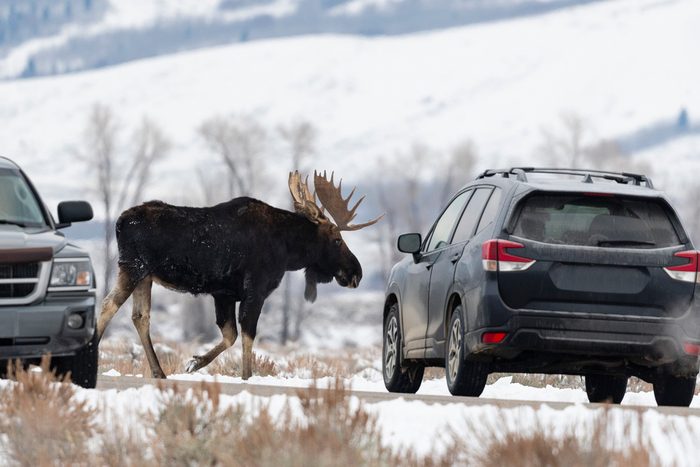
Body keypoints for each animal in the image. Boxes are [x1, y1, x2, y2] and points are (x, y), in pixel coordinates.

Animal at [95, 171, 381, 380]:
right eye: (336, 239)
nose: (356, 272)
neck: (288, 251)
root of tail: (118, 222)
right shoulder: (255, 288)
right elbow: (248, 333)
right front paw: (246, 376)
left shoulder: (223, 293)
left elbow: (230, 334)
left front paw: (195, 362)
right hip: (133, 268)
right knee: (108, 305)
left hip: (145, 276)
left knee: (140, 317)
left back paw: (159, 372)